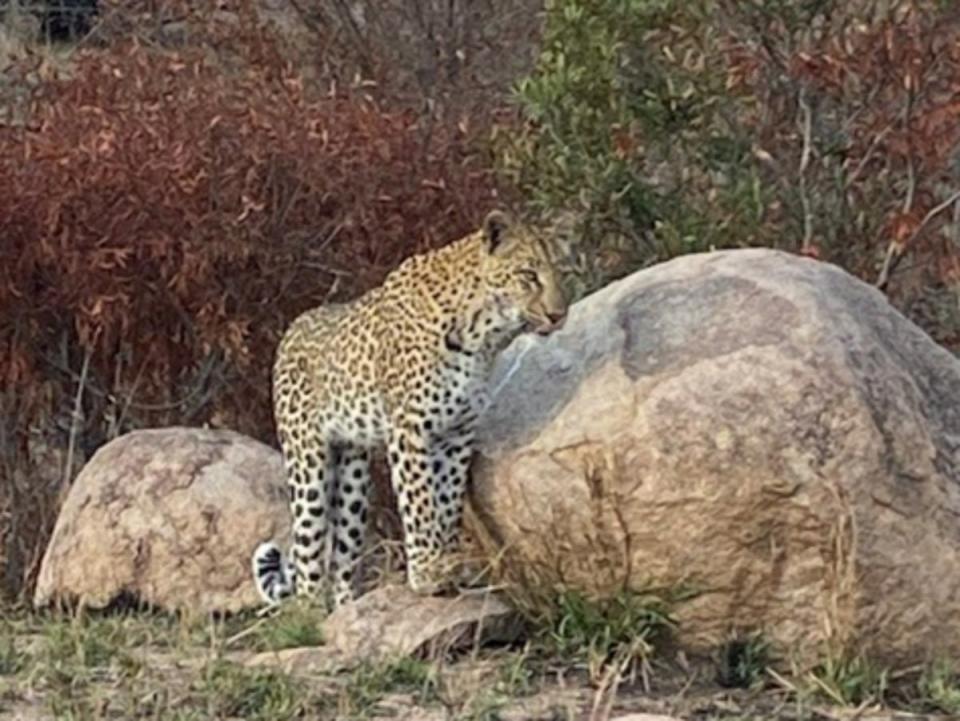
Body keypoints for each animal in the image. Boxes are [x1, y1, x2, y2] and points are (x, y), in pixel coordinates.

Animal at [253, 210, 568, 608]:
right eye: (528, 275)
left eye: (562, 272)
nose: (559, 315)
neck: (482, 337)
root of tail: (292, 328)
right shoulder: (409, 429)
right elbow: (420, 503)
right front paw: (427, 573)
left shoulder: (457, 433)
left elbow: (447, 503)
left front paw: (450, 566)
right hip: (308, 465)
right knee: (309, 561)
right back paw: (312, 609)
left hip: (354, 474)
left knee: (342, 557)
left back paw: (348, 605)